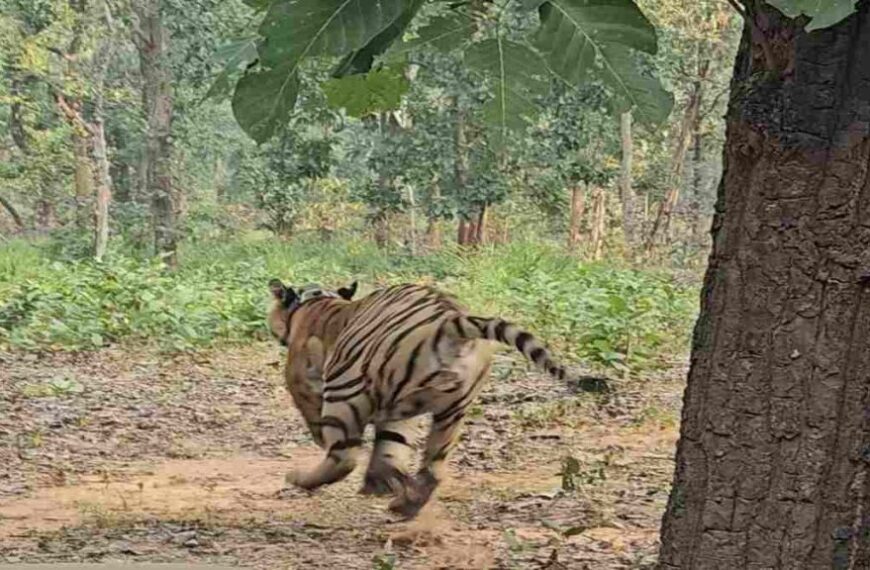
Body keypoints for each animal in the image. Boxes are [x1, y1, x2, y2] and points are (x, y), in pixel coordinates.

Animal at [266, 278, 608, 516]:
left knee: (344, 458)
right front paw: (381, 484)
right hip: (450, 411)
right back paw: (402, 504)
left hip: (345, 389)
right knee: (430, 468)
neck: (315, 301)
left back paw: (300, 478)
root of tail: (450, 321)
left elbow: (313, 413)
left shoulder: (300, 377)